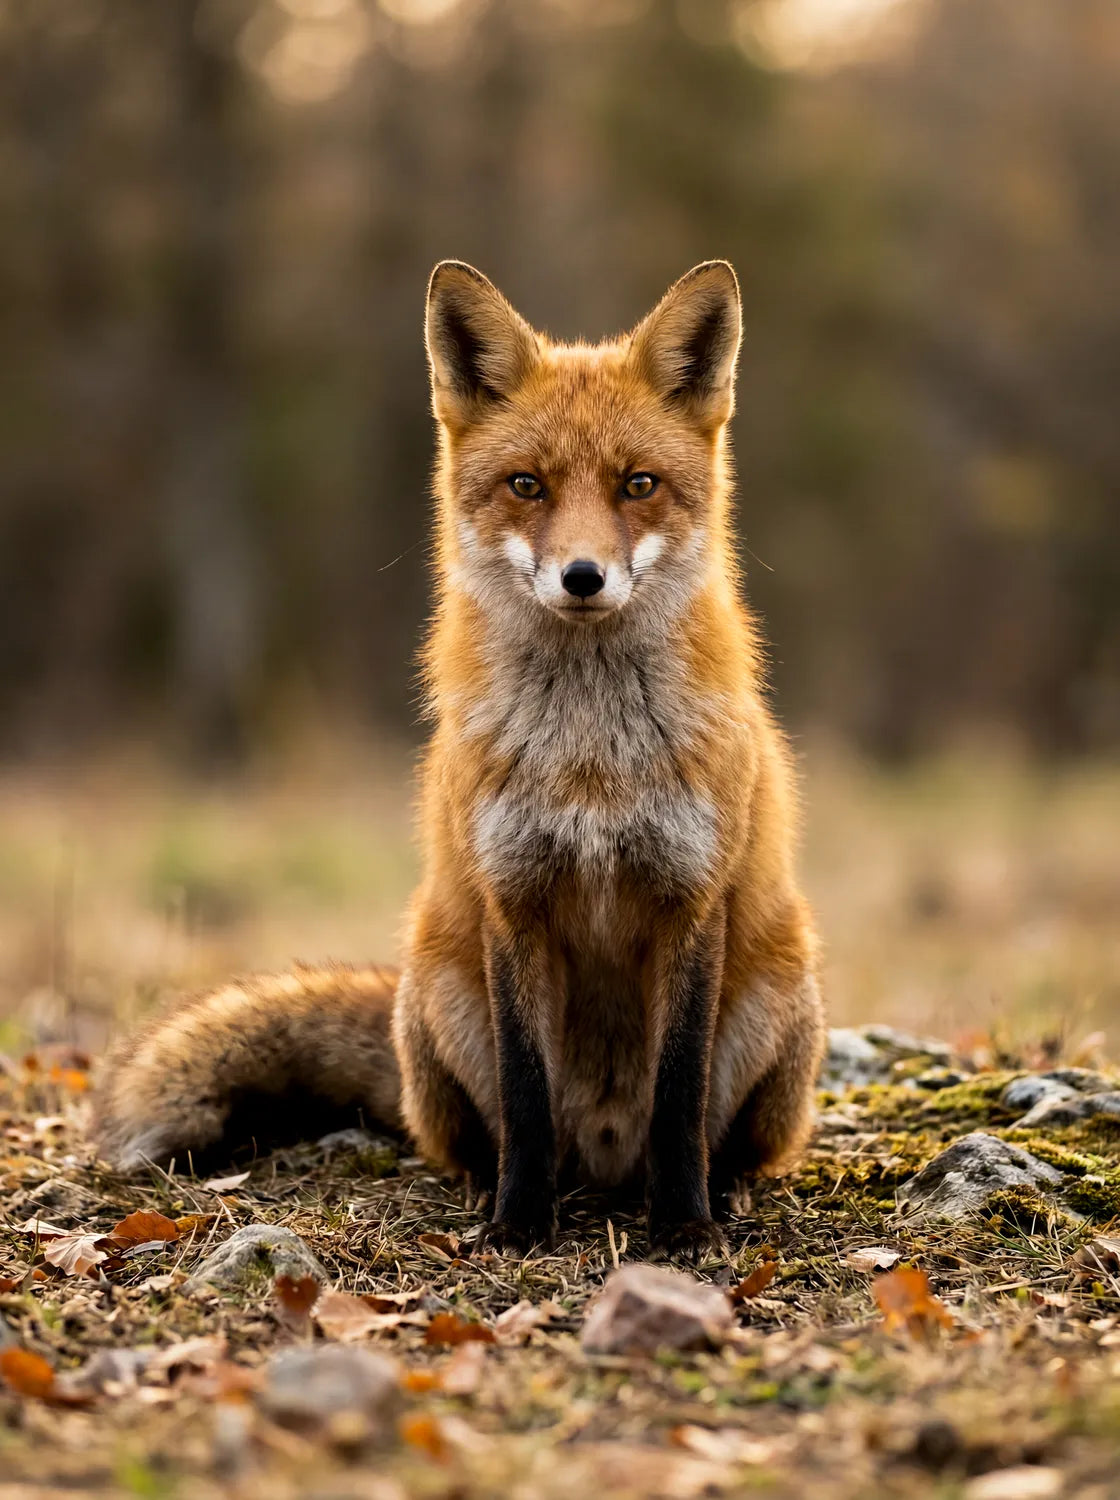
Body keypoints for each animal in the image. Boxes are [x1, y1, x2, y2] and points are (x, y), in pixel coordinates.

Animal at [94, 260, 825, 1259]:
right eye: (527, 485)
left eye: (638, 484)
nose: (583, 577)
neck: (590, 759)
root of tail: (607, 1158)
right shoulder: (509, 899)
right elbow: (525, 1095)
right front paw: (518, 1224)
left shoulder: (691, 898)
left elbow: (679, 1095)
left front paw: (682, 1225)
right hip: (441, 992)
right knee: (479, 1137)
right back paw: (498, 1188)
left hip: (778, 994)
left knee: (726, 1138)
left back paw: (722, 1190)